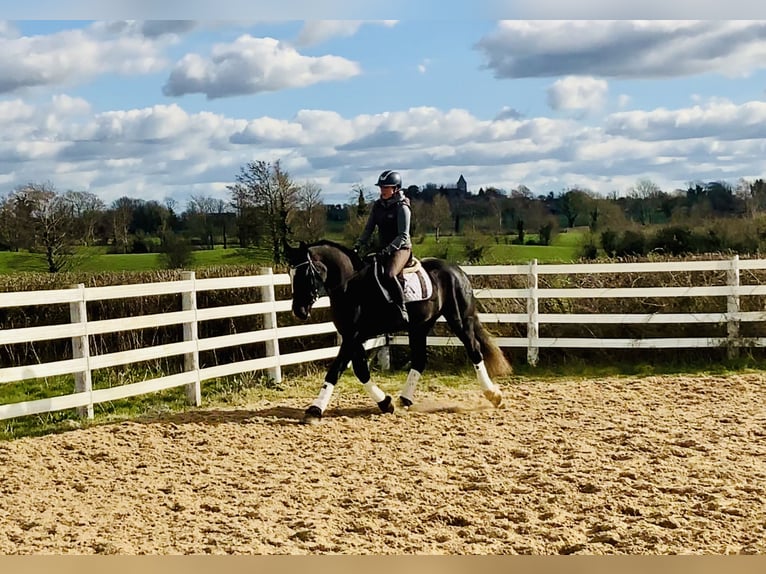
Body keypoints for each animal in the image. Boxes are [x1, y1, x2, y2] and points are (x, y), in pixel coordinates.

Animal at [284, 241, 512, 426]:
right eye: (290, 275)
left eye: (306, 274)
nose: (299, 311)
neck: (351, 286)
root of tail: (457, 270)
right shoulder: (353, 337)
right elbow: (360, 370)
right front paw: (386, 403)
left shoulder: (353, 337)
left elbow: (336, 370)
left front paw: (314, 411)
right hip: (420, 326)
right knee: (419, 360)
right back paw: (404, 400)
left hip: (460, 320)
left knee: (474, 350)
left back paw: (493, 395)